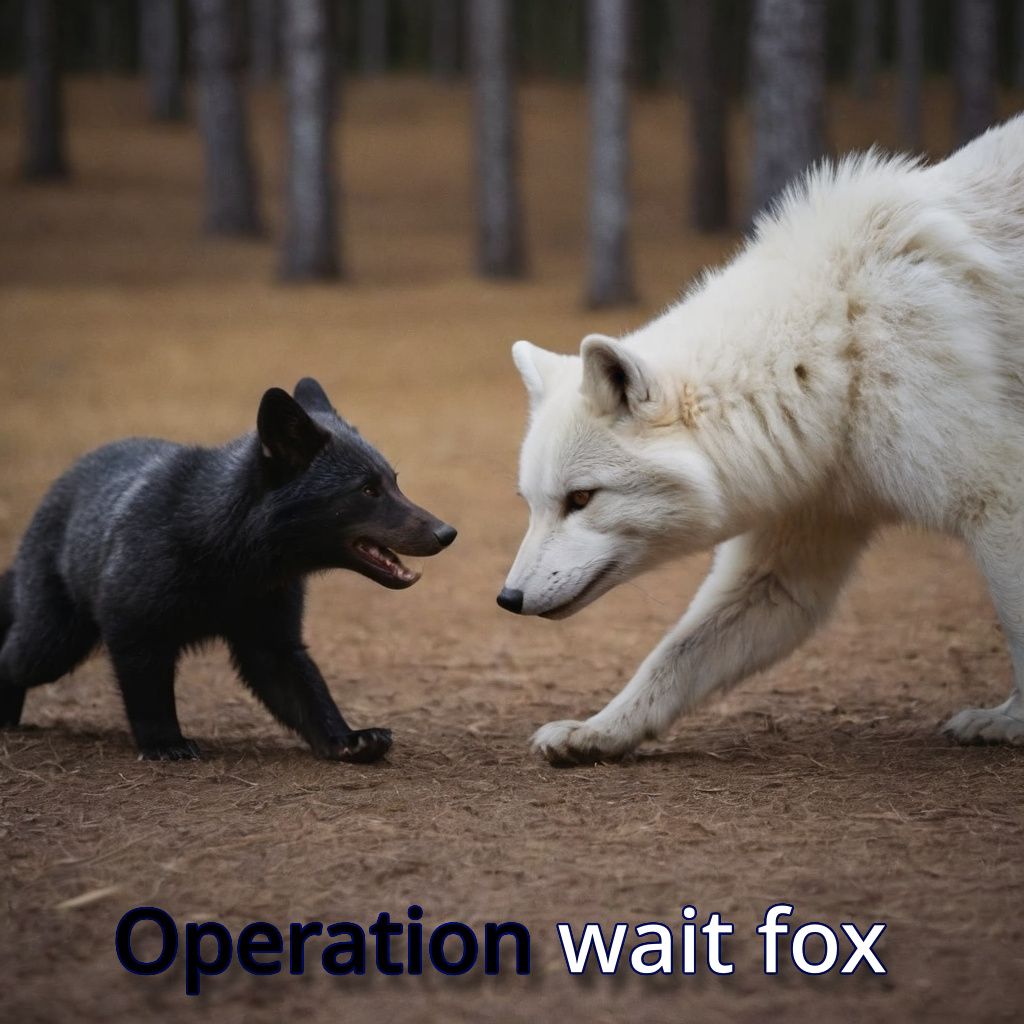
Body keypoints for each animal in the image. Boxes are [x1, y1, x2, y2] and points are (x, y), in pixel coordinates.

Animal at [0, 378, 456, 762]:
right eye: (367, 490)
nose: (447, 532)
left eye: (394, 481)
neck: (230, 563)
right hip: (53, 643)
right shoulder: (135, 631)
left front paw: (346, 739)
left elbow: (310, 696)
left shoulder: (271, 642)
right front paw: (165, 746)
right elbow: (151, 700)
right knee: (10, 656)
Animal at [499, 115, 1024, 764]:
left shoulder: (999, 500)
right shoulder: (791, 552)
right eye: (534, 505)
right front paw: (596, 732)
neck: (839, 347)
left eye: (580, 499)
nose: (508, 599)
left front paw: (1010, 721)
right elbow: (672, 656)